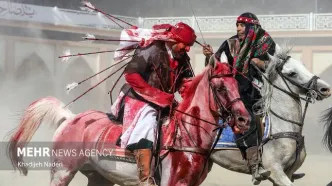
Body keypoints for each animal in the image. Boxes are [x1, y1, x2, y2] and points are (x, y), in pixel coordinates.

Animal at [210, 45, 332, 186]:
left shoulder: (288, 172)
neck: (281, 127)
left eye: (304, 65)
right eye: (292, 73)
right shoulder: (275, 171)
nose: (325, 89)